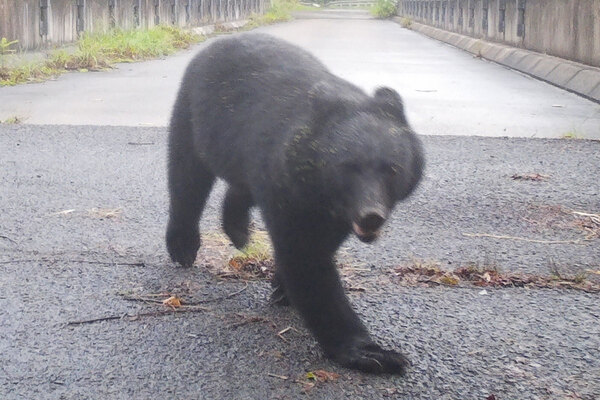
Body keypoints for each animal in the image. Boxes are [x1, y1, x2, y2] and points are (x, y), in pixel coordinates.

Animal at [166, 32, 424, 374]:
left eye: (392, 168)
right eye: (348, 167)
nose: (371, 216)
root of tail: (221, 40)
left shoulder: (329, 208)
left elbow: (320, 245)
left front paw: (281, 288)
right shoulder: (287, 187)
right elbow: (307, 258)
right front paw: (372, 352)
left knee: (237, 186)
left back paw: (237, 229)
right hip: (194, 114)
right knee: (187, 177)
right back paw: (183, 245)